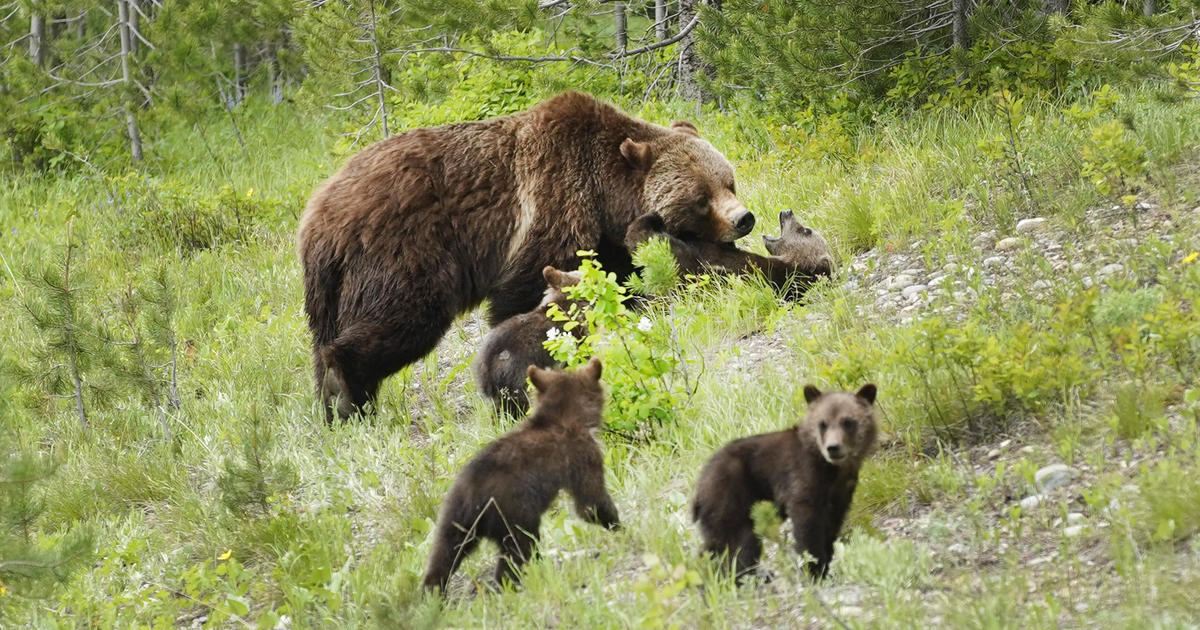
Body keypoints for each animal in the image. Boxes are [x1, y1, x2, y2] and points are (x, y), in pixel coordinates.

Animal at [422, 355, 619, 592]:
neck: (563, 417)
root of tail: (472, 499)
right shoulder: (582, 455)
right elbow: (591, 502)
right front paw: (618, 525)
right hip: (513, 514)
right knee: (518, 550)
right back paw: (511, 583)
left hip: (452, 518)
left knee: (443, 555)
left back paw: (433, 592)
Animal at [691, 381, 878, 583]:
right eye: (823, 423)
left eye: (848, 422)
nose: (833, 448)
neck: (833, 469)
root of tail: (699, 486)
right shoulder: (802, 476)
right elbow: (807, 524)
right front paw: (814, 568)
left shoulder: (841, 491)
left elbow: (832, 524)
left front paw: (826, 564)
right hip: (730, 496)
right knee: (739, 542)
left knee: (715, 544)